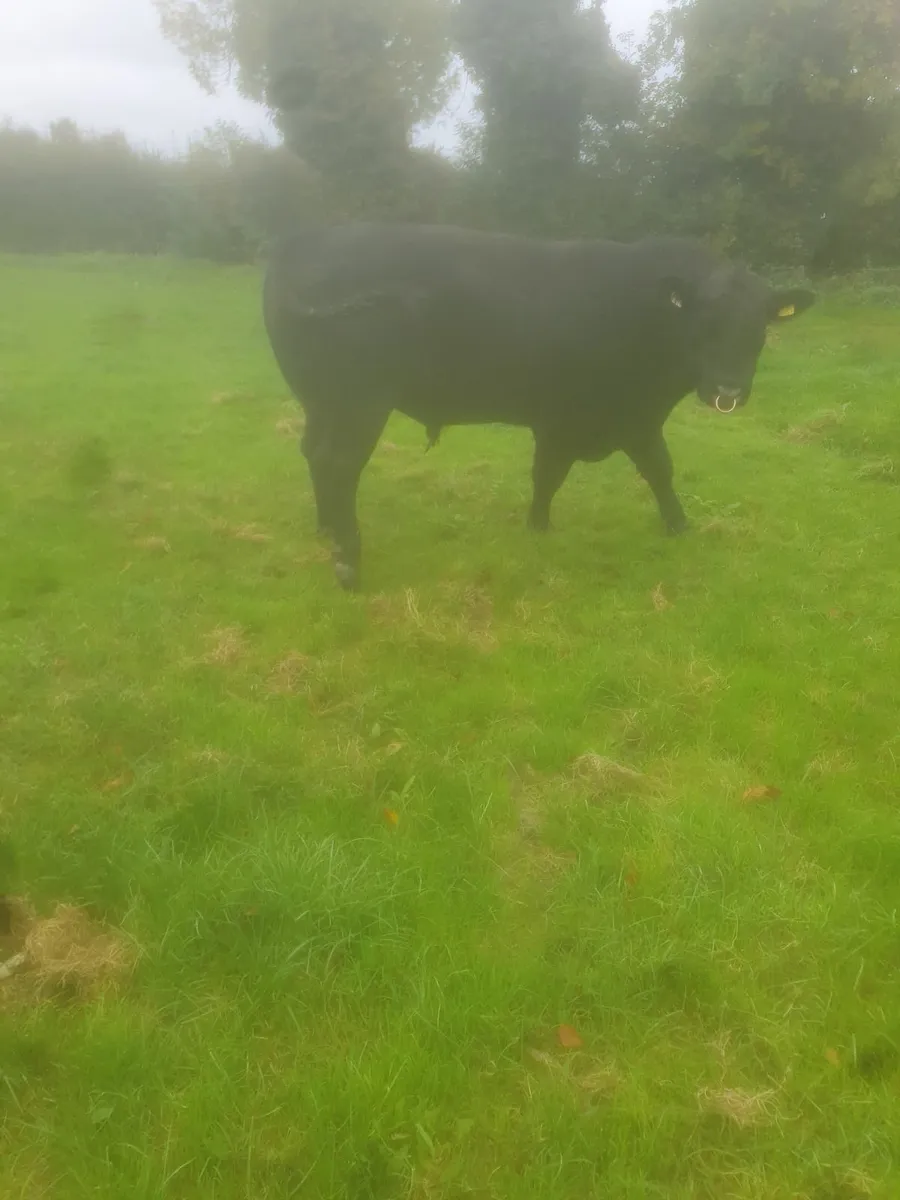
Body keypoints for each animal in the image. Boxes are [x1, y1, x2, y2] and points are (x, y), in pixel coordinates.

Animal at [262, 223, 815, 590]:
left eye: (759, 327)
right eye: (704, 322)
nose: (729, 391)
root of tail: (308, 237)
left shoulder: (634, 416)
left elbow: (658, 469)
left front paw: (678, 527)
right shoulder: (564, 417)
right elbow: (549, 473)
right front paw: (540, 526)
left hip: (321, 402)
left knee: (314, 454)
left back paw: (327, 529)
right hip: (359, 402)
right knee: (338, 463)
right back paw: (349, 561)